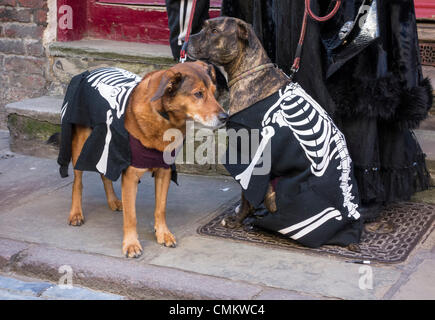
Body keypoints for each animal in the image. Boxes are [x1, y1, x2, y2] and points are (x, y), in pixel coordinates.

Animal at [67, 61, 228, 258]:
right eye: (198, 94)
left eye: (214, 92)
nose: (225, 117)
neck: (164, 118)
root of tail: (93, 69)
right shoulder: (131, 176)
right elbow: (131, 216)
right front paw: (131, 244)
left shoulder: (164, 172)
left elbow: (161, 208)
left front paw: (163, 234)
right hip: (80, 143)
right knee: (77, 182)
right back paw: (76, 213)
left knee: (105, 174)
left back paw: (113, 201)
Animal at [187, 16, 290, 228]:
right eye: (204, 26)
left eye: (215, 31)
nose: (186, 42)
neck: (250, 72)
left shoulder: (248, 155)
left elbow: (245, 193)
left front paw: (237, 220)